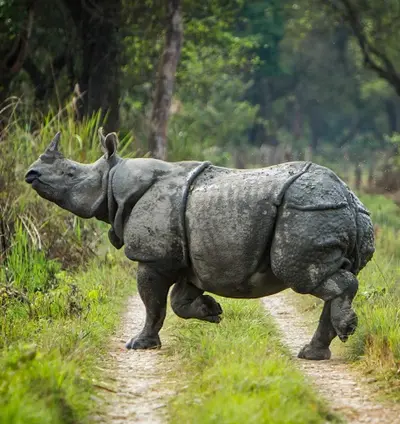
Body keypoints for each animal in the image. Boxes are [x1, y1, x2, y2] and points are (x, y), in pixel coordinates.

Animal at [25, 131, 376, 360]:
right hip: (329, 211)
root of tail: (348, 196)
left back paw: (343, 331)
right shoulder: (189, 259)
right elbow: (178, 301)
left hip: (308, 210)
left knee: (303, 274)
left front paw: (140, 344)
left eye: (71, 173)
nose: (31, 174)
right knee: (328, 276)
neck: (114, 182)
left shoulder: (153, 258)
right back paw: (313, 353)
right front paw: (212, 311)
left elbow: (153, 304)